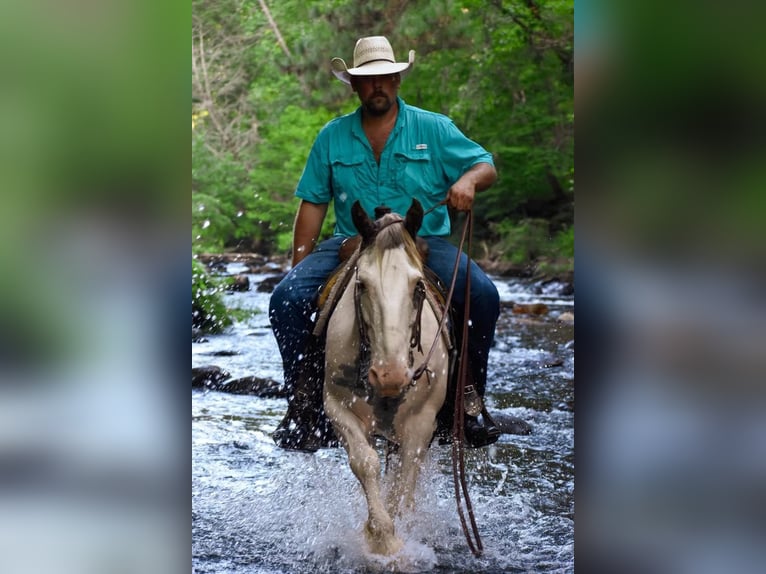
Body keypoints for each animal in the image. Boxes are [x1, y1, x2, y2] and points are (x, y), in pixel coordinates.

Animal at [322, 199, 452, 560]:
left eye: (418, 286)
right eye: (361, 285)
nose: (390, 376)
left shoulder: (422, 421)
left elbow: (405, 479)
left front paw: (398, 537)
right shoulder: (337, 407)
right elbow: (365, 462)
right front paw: (381, 538)